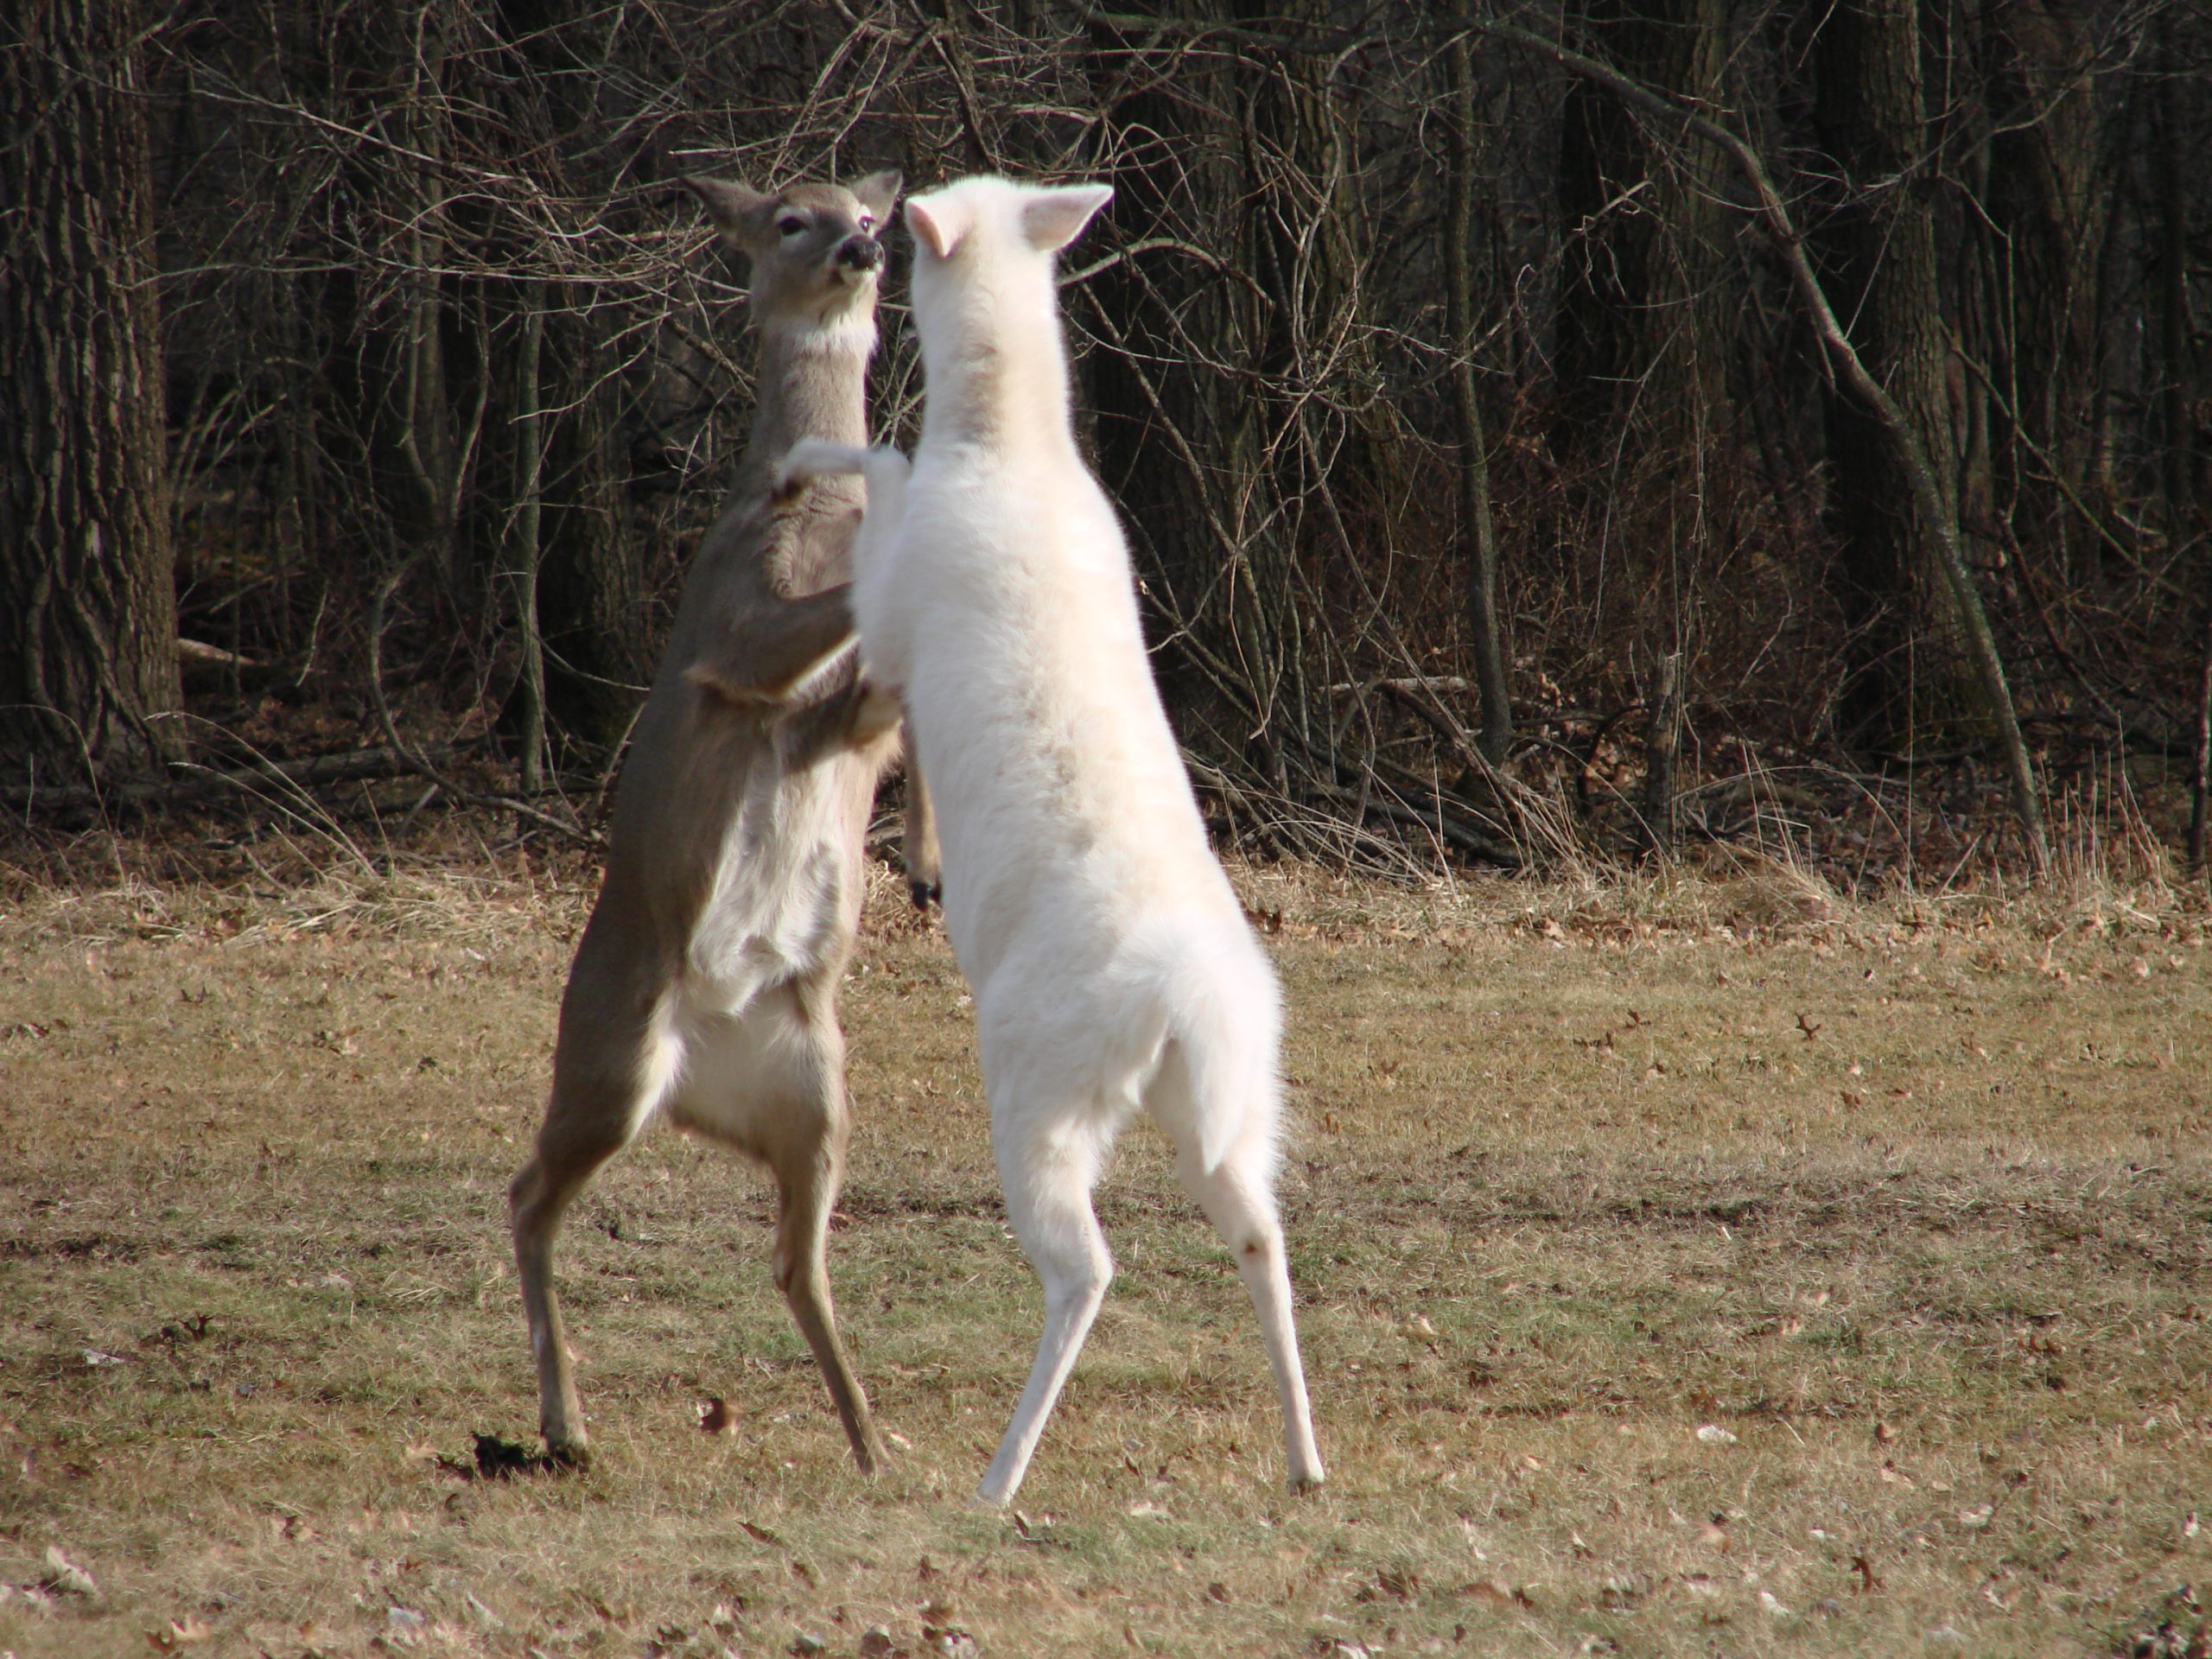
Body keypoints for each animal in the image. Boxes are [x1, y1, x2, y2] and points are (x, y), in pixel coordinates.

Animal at [508, 168, 933, 1478]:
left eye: (867, 210)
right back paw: (566, 1423)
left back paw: (876, 1445)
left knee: (794, 1259)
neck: (814, 494)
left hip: (813, 1085)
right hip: (609, 1053)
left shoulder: (849, 716)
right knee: (526, 1194)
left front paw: (929, 869)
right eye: (791, 219)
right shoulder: (737, 632)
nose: (863, 244)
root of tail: (708, 1063)